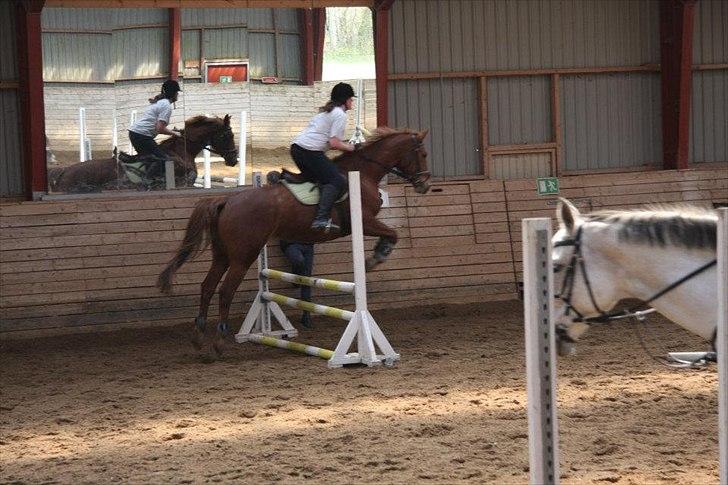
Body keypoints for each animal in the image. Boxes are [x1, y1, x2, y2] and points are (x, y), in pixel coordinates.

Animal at [158, 126, 432, 358]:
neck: (363, 173)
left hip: (223, 254)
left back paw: (199, 336)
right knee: (225, 291)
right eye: (423, 154)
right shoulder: (364, 221)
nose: (425, 185)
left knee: (207, 287)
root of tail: (227, 200)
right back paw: (219, 341)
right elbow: (392, 234)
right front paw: (377, 257)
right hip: (243, 255)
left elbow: (391, 233)